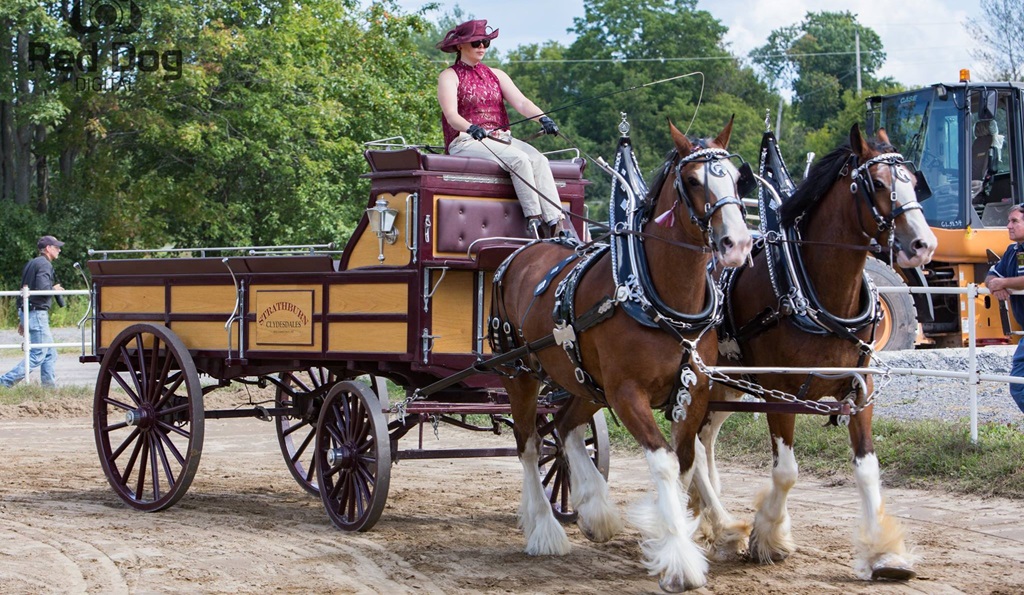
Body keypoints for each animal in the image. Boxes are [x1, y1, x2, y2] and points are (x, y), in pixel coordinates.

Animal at [489, 117, 753, 592]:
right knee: (529, 444)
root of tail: (519, 253)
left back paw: (596, 509)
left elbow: (686, 466)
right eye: (692, 180)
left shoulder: (692, 392)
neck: (655, 296)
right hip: (519, 373)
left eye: (737, 179)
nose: (737, 243)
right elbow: (664, 463)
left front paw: (678, 533)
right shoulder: (628, 394)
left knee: (564, 427)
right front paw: (680, 557)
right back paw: (544, 529)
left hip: (585, 383)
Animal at [690, 124, 937, 581]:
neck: (814, 291)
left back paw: (714, 521)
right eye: (877, 184)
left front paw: (883, 553)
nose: (923, 244)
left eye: (914, 181)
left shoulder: (860, 391)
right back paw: (726, 527)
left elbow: (868, 470)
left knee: (704, 439)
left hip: (725, 383)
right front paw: (768, 537)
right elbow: (786, 472)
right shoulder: (779, 392)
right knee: (692, 446)